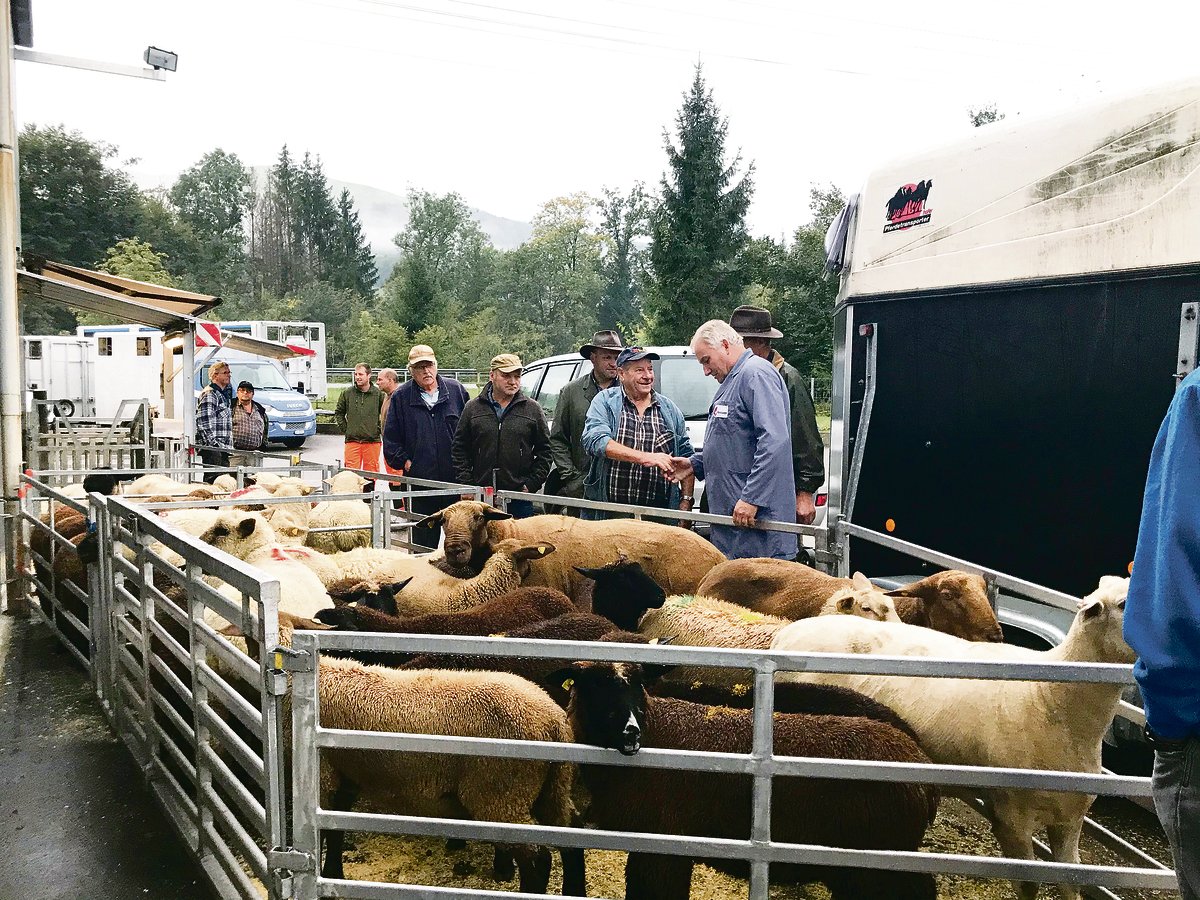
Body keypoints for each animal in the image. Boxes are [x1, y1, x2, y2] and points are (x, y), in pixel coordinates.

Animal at [268, 614, 585, 894]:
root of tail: (552, 719)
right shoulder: (346, 772)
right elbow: (335, 830)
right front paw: (335, 873)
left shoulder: (324, 774)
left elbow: (326, 832)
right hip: (551, 784)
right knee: (572, 832)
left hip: (501, 792)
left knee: (538, 858)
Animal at [559, 659, 938, 899]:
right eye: (593, 685)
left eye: (639, 686)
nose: (631, 732)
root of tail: (920, 763)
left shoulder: (662, 849)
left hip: (879, 864)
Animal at [770, 575, 1135, 900]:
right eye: (1123, 604)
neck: (1051, 698)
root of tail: (787, 632)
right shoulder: (1012, 817)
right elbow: (1028, 886)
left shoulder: (1070, 820)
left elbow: (1071, 884)